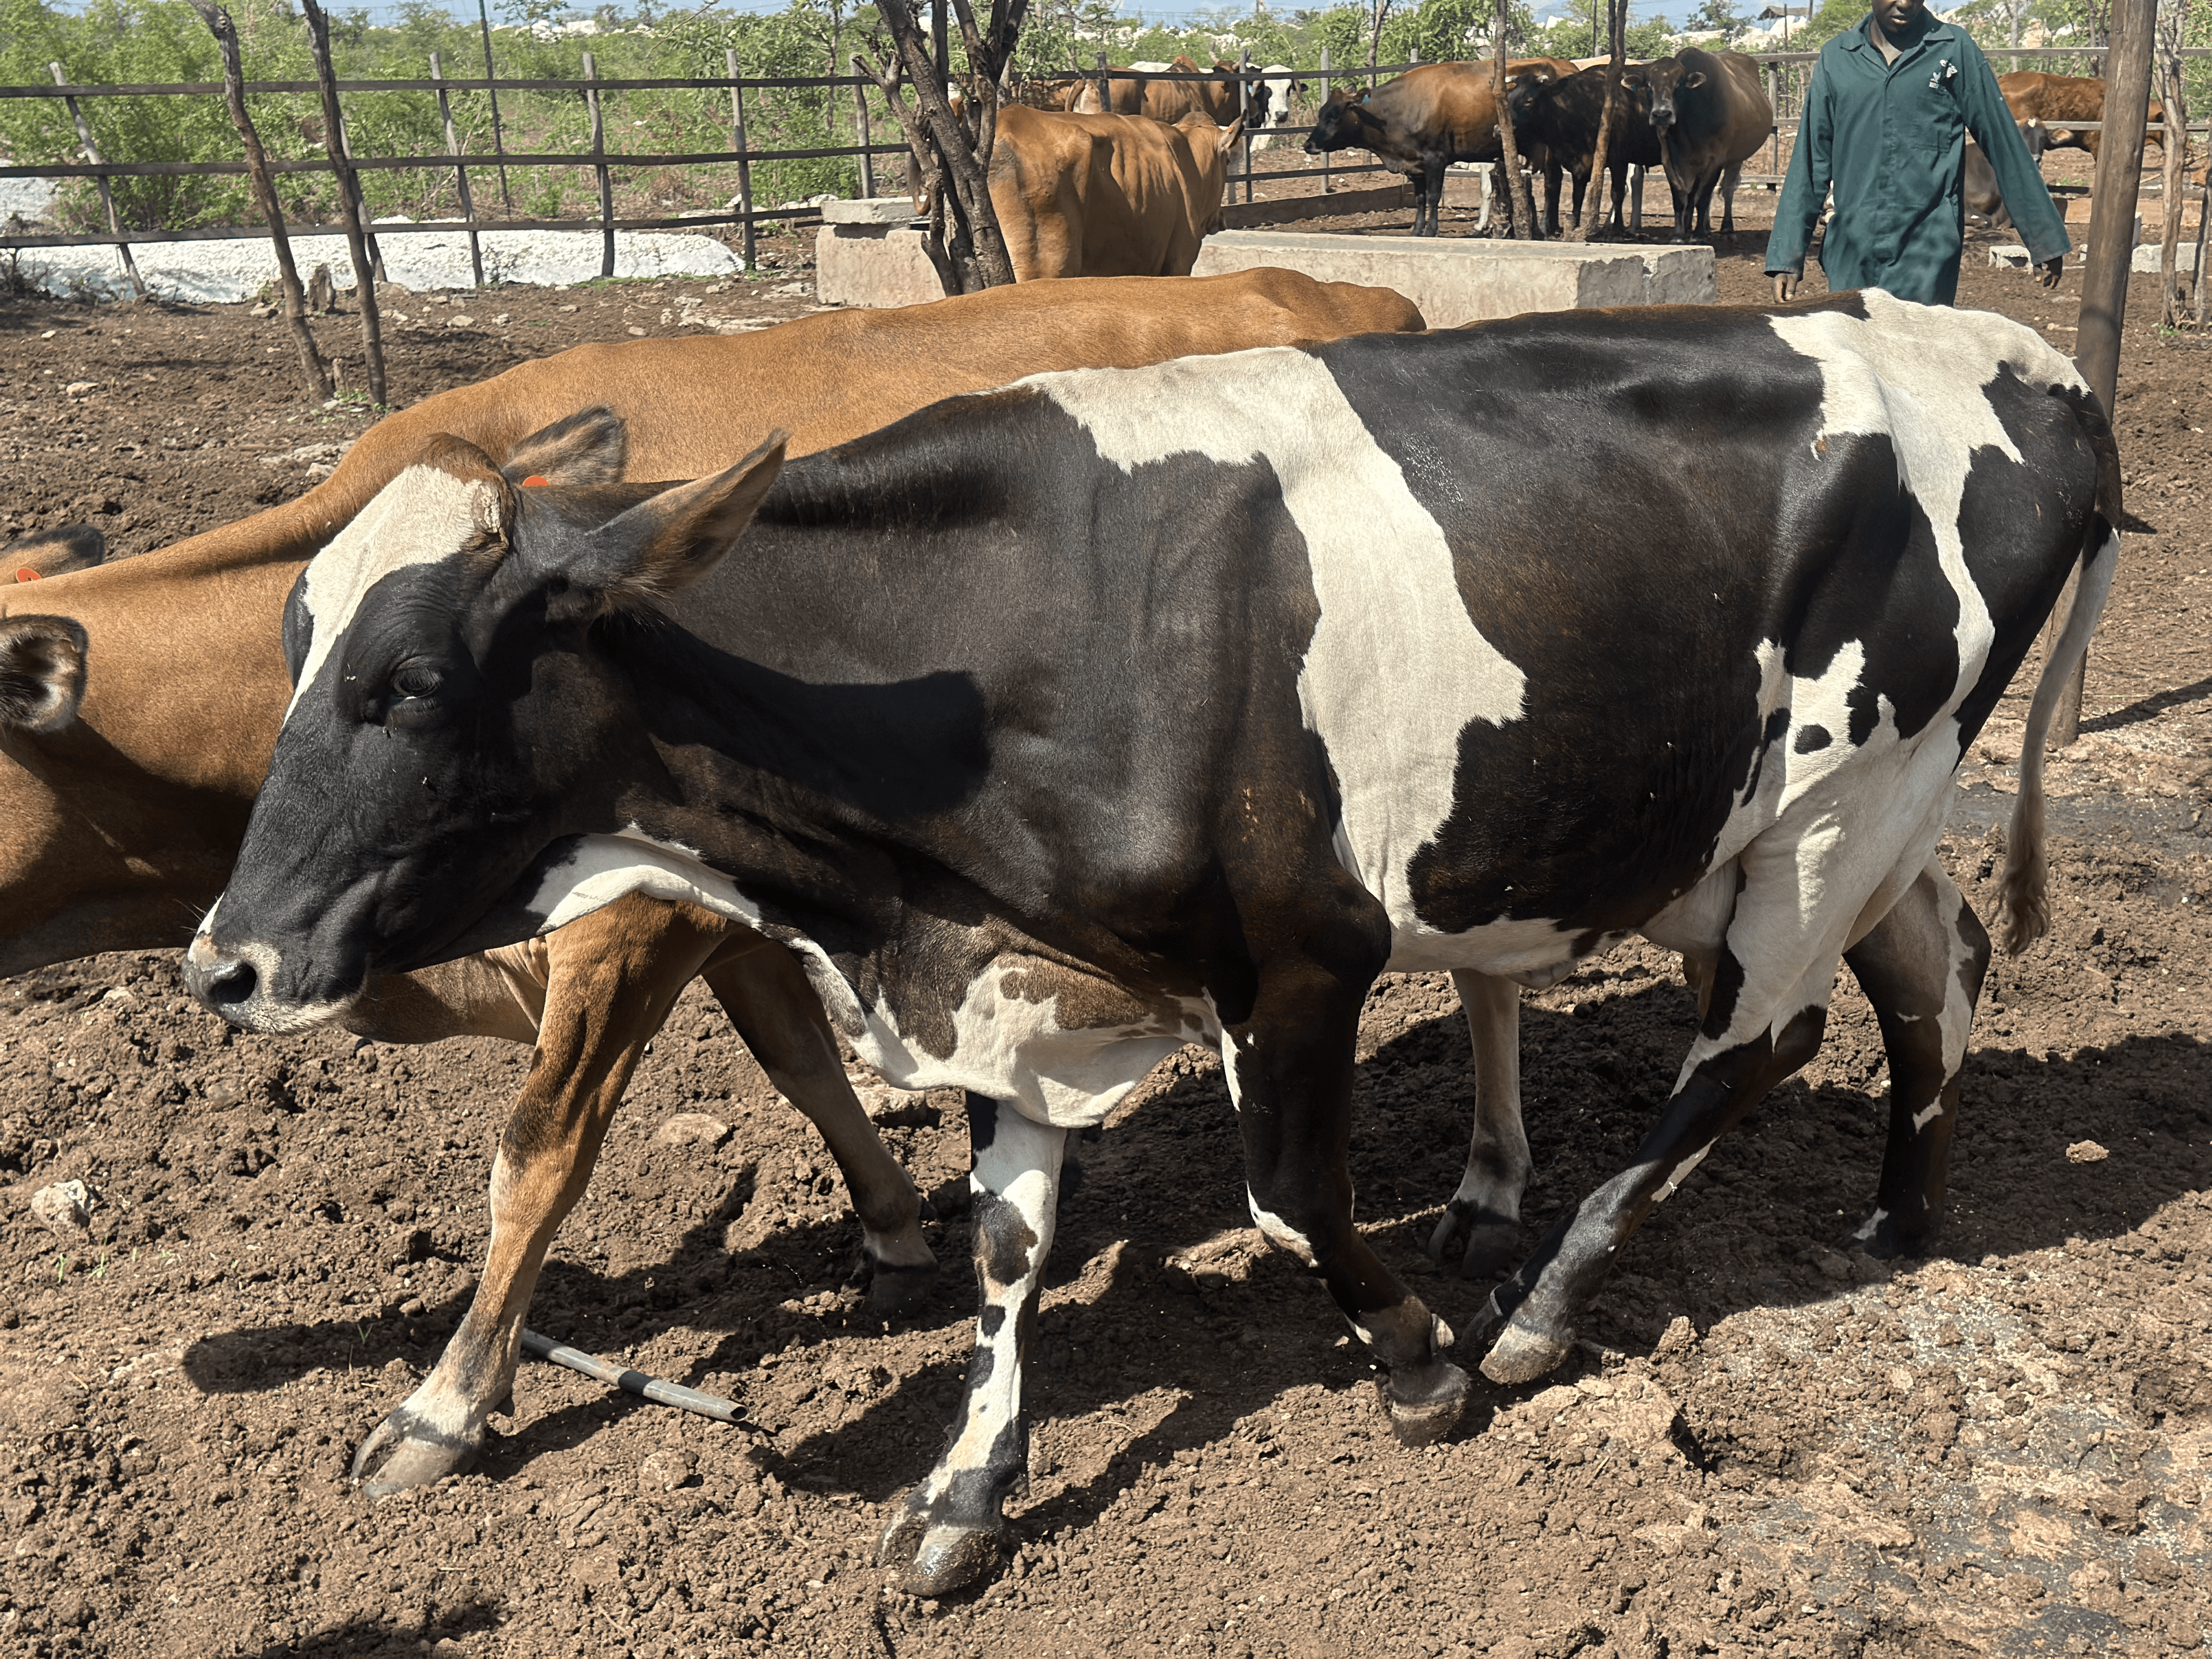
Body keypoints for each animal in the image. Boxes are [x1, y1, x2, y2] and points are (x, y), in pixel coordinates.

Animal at [0, 268, 1424, 1498]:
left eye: (408, 685)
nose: (216, 969)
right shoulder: (736, 918)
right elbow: (802, 1069)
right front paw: (894, 1235)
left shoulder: (627, 926)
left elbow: (538, 1153)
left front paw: (442, 1406)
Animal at [181, 291, 2115, 1597]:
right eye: (288, 648)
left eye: (408, 680)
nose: (225, 962)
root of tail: (2027, 356)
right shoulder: (1007, 980)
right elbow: (1003, 1245)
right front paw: (963, 1495)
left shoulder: (1303, 956)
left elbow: (1288, 1196)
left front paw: (1417, 1365)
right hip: (1813, 818)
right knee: (1928, 969)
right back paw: (1899, 1215)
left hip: (1834, 798)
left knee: (1760, 1039)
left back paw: (1540, 1312)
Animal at [1302, 60, 1579, 236]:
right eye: (1321, 113)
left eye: (1334, 115)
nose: (1308, 145)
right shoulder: (1414, 164)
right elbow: (1420, 198)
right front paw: (1416, 230)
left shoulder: (1436, 159)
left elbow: (1434, 196)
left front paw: (1431, 230)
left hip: (1550, 148)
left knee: (1552, 184)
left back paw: (1546, 228)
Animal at [1508, 62, 1662, 236]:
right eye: (1509, 98)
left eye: (1529, 101)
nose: (1498, 129)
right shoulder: (1574, 161)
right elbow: (1575, 195)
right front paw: (1573, 225)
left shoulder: (1619, 160)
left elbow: (1617, 193)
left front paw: (1617, 229)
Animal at [1643, 47, 1774, 238]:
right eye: (1649, 86)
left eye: (1679, 84)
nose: (1662, 114)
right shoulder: (1670, 158)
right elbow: (1681, 196)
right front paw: (1680, 234)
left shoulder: (1716, 160)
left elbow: (1703, 197)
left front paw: (1698, 235)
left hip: (1736, 158)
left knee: (1728, 189)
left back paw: (1726, 228)